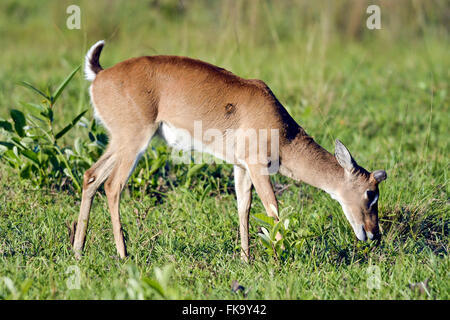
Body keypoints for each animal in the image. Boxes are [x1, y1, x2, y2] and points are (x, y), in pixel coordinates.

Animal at [73, 40, 386, 260]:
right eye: (370, 194)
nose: (374, 234)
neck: (282, 132)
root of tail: (100, 75)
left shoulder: (241, 167)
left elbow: (243, 208)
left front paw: (246, 259)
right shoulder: (258, 167)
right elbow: (273, 209)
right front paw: (282, 257)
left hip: (118, 143)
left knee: (91, 176)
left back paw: (78, 251)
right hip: (134, 142)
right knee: (112, 186)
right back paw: (123, 254)